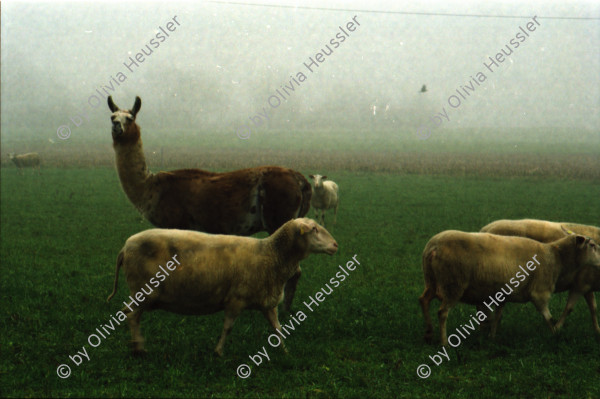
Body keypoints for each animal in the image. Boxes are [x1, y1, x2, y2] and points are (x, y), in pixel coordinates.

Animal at [106, 219, 338, 356]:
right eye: (314, 229)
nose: (336, 245)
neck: (271, 255)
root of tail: (125, 247)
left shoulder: (268, 302)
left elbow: (278, 327)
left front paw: (285, 351)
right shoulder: (236, 299)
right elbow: (228, 327)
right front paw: (218, 352)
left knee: (129, 314)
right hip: (144, 291)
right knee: (131, 315)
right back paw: (139, 348)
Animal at [418, 231, 600, 346]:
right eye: (592, 245)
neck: (556, 258)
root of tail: (433, 247)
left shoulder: (503, 294)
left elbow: (497, 317)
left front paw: (491, 337)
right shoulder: (539, 292)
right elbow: (549, 317)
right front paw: (556, 334)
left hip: (432, 281)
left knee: (423, 300)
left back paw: (428, 333)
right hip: (453, 284)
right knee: (442, 312)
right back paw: (444, 342)